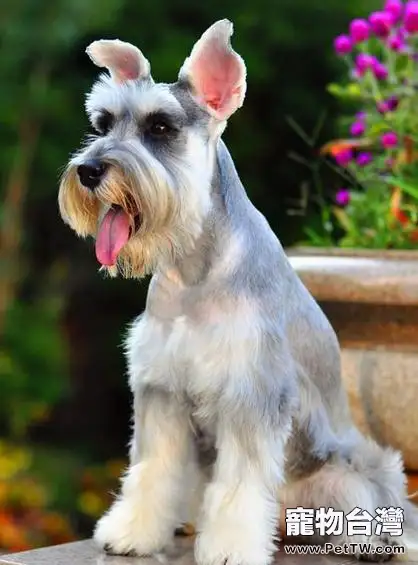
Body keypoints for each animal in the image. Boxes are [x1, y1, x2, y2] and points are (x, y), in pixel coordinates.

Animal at [59, 18, 418, 564]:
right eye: (102, 123)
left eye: (160, 127)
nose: (89, 170)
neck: (193, 271)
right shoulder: (161, 390)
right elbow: (152, 469)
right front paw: (133, 532)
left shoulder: (252, 393)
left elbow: (240, 487)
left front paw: (230, 548)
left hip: (350, 473)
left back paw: (374, 541)